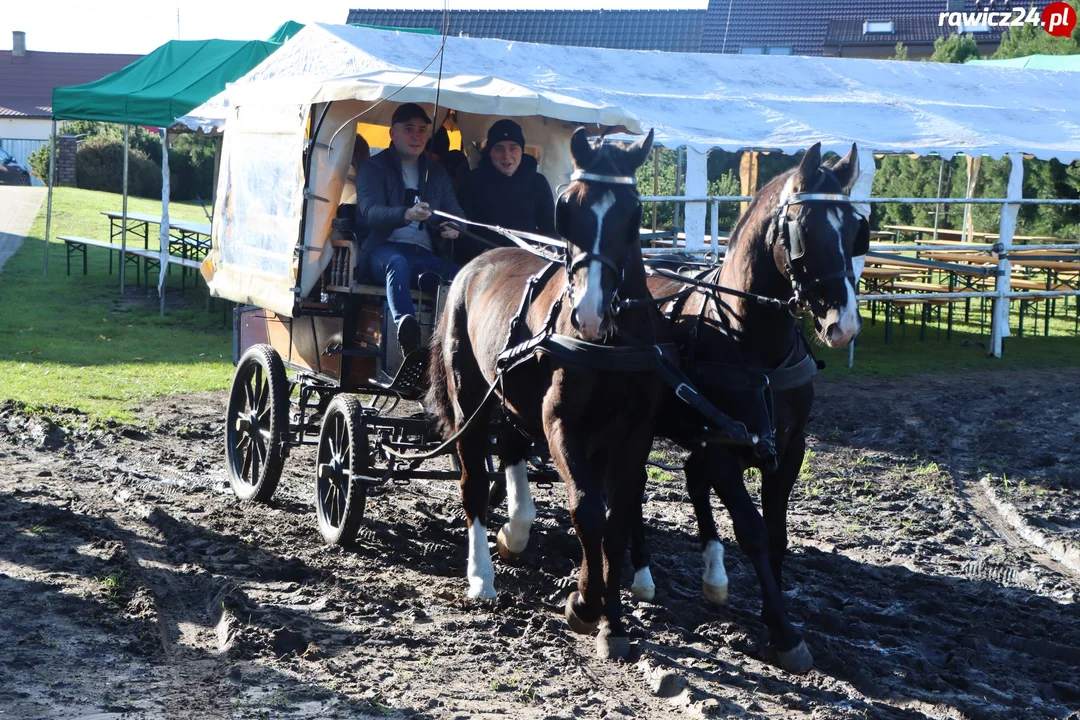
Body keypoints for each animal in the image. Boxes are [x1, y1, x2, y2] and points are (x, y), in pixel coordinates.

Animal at [423, 127, 665, 660]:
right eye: (567, 208)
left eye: (634, 212)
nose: (590, 314)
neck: (608, 344)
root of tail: (478, 260)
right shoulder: (561, 423)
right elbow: (588, 511)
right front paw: (584, 605)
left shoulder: (634, 434)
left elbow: (618, 520)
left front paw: (612, 622)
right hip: (471, 399)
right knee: (474, 482)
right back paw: (481, 576)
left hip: (513, 395)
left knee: (513, 447)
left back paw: (516, 528)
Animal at [630, 143, 868, 673]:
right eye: (805, 230)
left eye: (855, 230)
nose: (843, 324)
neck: (746, 336)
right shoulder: (722, 446)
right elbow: (753, 531)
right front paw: (784, 633)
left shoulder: (789, 449)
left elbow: (777, 536)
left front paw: (768, 607)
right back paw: (640, 573)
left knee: (688, 477)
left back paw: (712, 576)